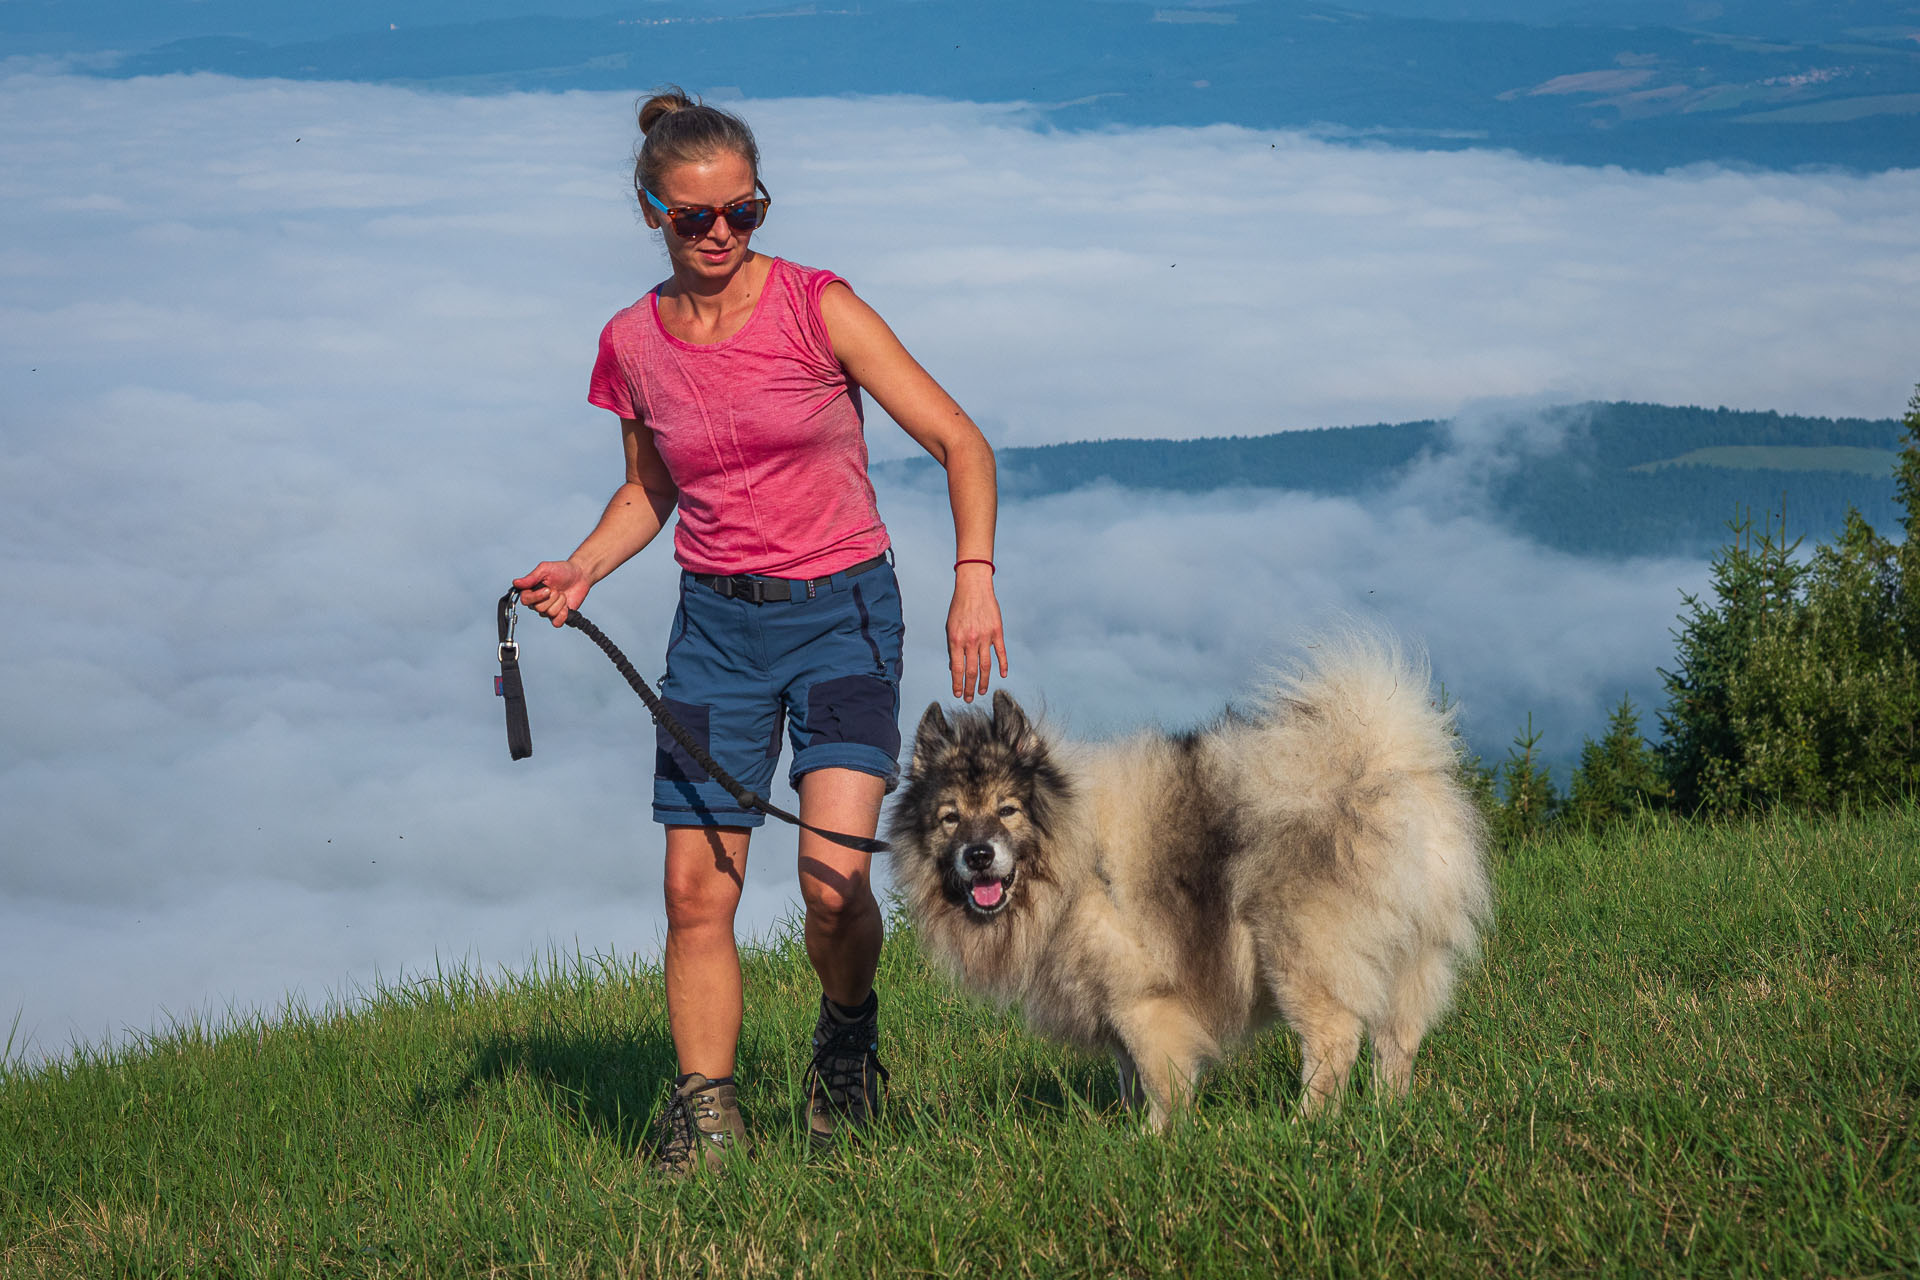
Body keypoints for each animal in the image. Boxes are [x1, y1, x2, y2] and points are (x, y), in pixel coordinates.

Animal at [890, 637, 1489, 1128]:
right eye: (950, 819)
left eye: (1007, 810)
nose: (979, 855)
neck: (1072, 859)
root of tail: (1383, 769)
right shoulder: (1114, 1009)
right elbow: (1129, 1076)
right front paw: (1127, 1134)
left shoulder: (1143, 1002)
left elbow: (1161, 1082)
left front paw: (1155, 1141)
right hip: (1409, 961)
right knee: (1397, 1042)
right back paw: (1387, 1116)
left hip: (1302, 960)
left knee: (1335, 1042)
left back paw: (1306, 1128)